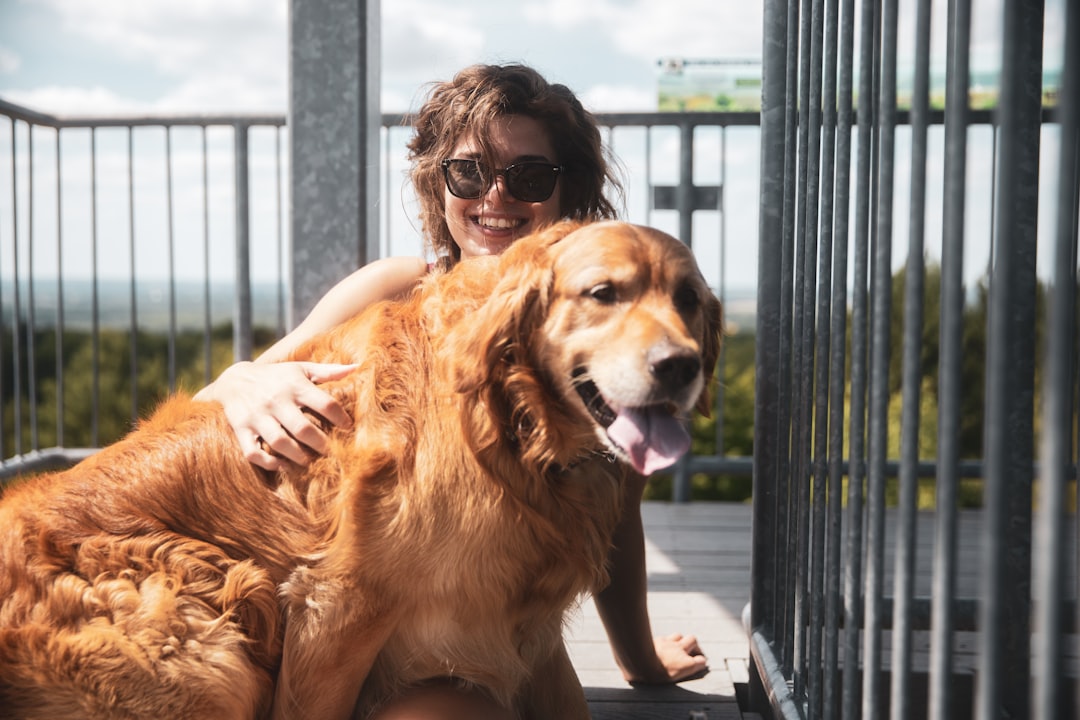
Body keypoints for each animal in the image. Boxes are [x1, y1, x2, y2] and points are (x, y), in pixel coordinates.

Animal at [0, 222, 725, 716]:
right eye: (603, 293)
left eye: (688, 298)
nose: (679, 367)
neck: (510, 427)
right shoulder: (341, 605)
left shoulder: (527, 628)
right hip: (209, 643)